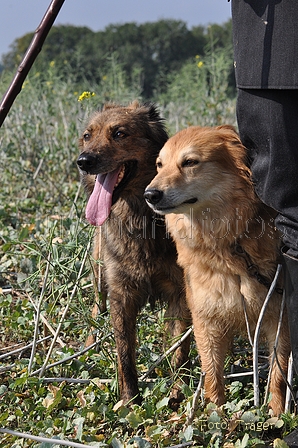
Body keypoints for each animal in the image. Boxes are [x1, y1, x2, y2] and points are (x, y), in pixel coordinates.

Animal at [75, 102, 190, 406]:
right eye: (87, 136)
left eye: (119, 133)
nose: (83, 161)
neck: (138, 216)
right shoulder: (121, 294)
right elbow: (124, 353)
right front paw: (129, 400)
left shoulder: (181, 293)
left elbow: (180, 348)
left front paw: (178, 391)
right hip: (99, 269)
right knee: (97, 303)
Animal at [146, 124, 290, 414]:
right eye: (159, 164)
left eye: (190, 162)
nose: (150, 195)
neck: (228, 244)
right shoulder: (206, 317)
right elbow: (212, 371)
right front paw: (214, 414)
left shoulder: (279, 316)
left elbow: (278, 373)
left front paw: (276, 413)